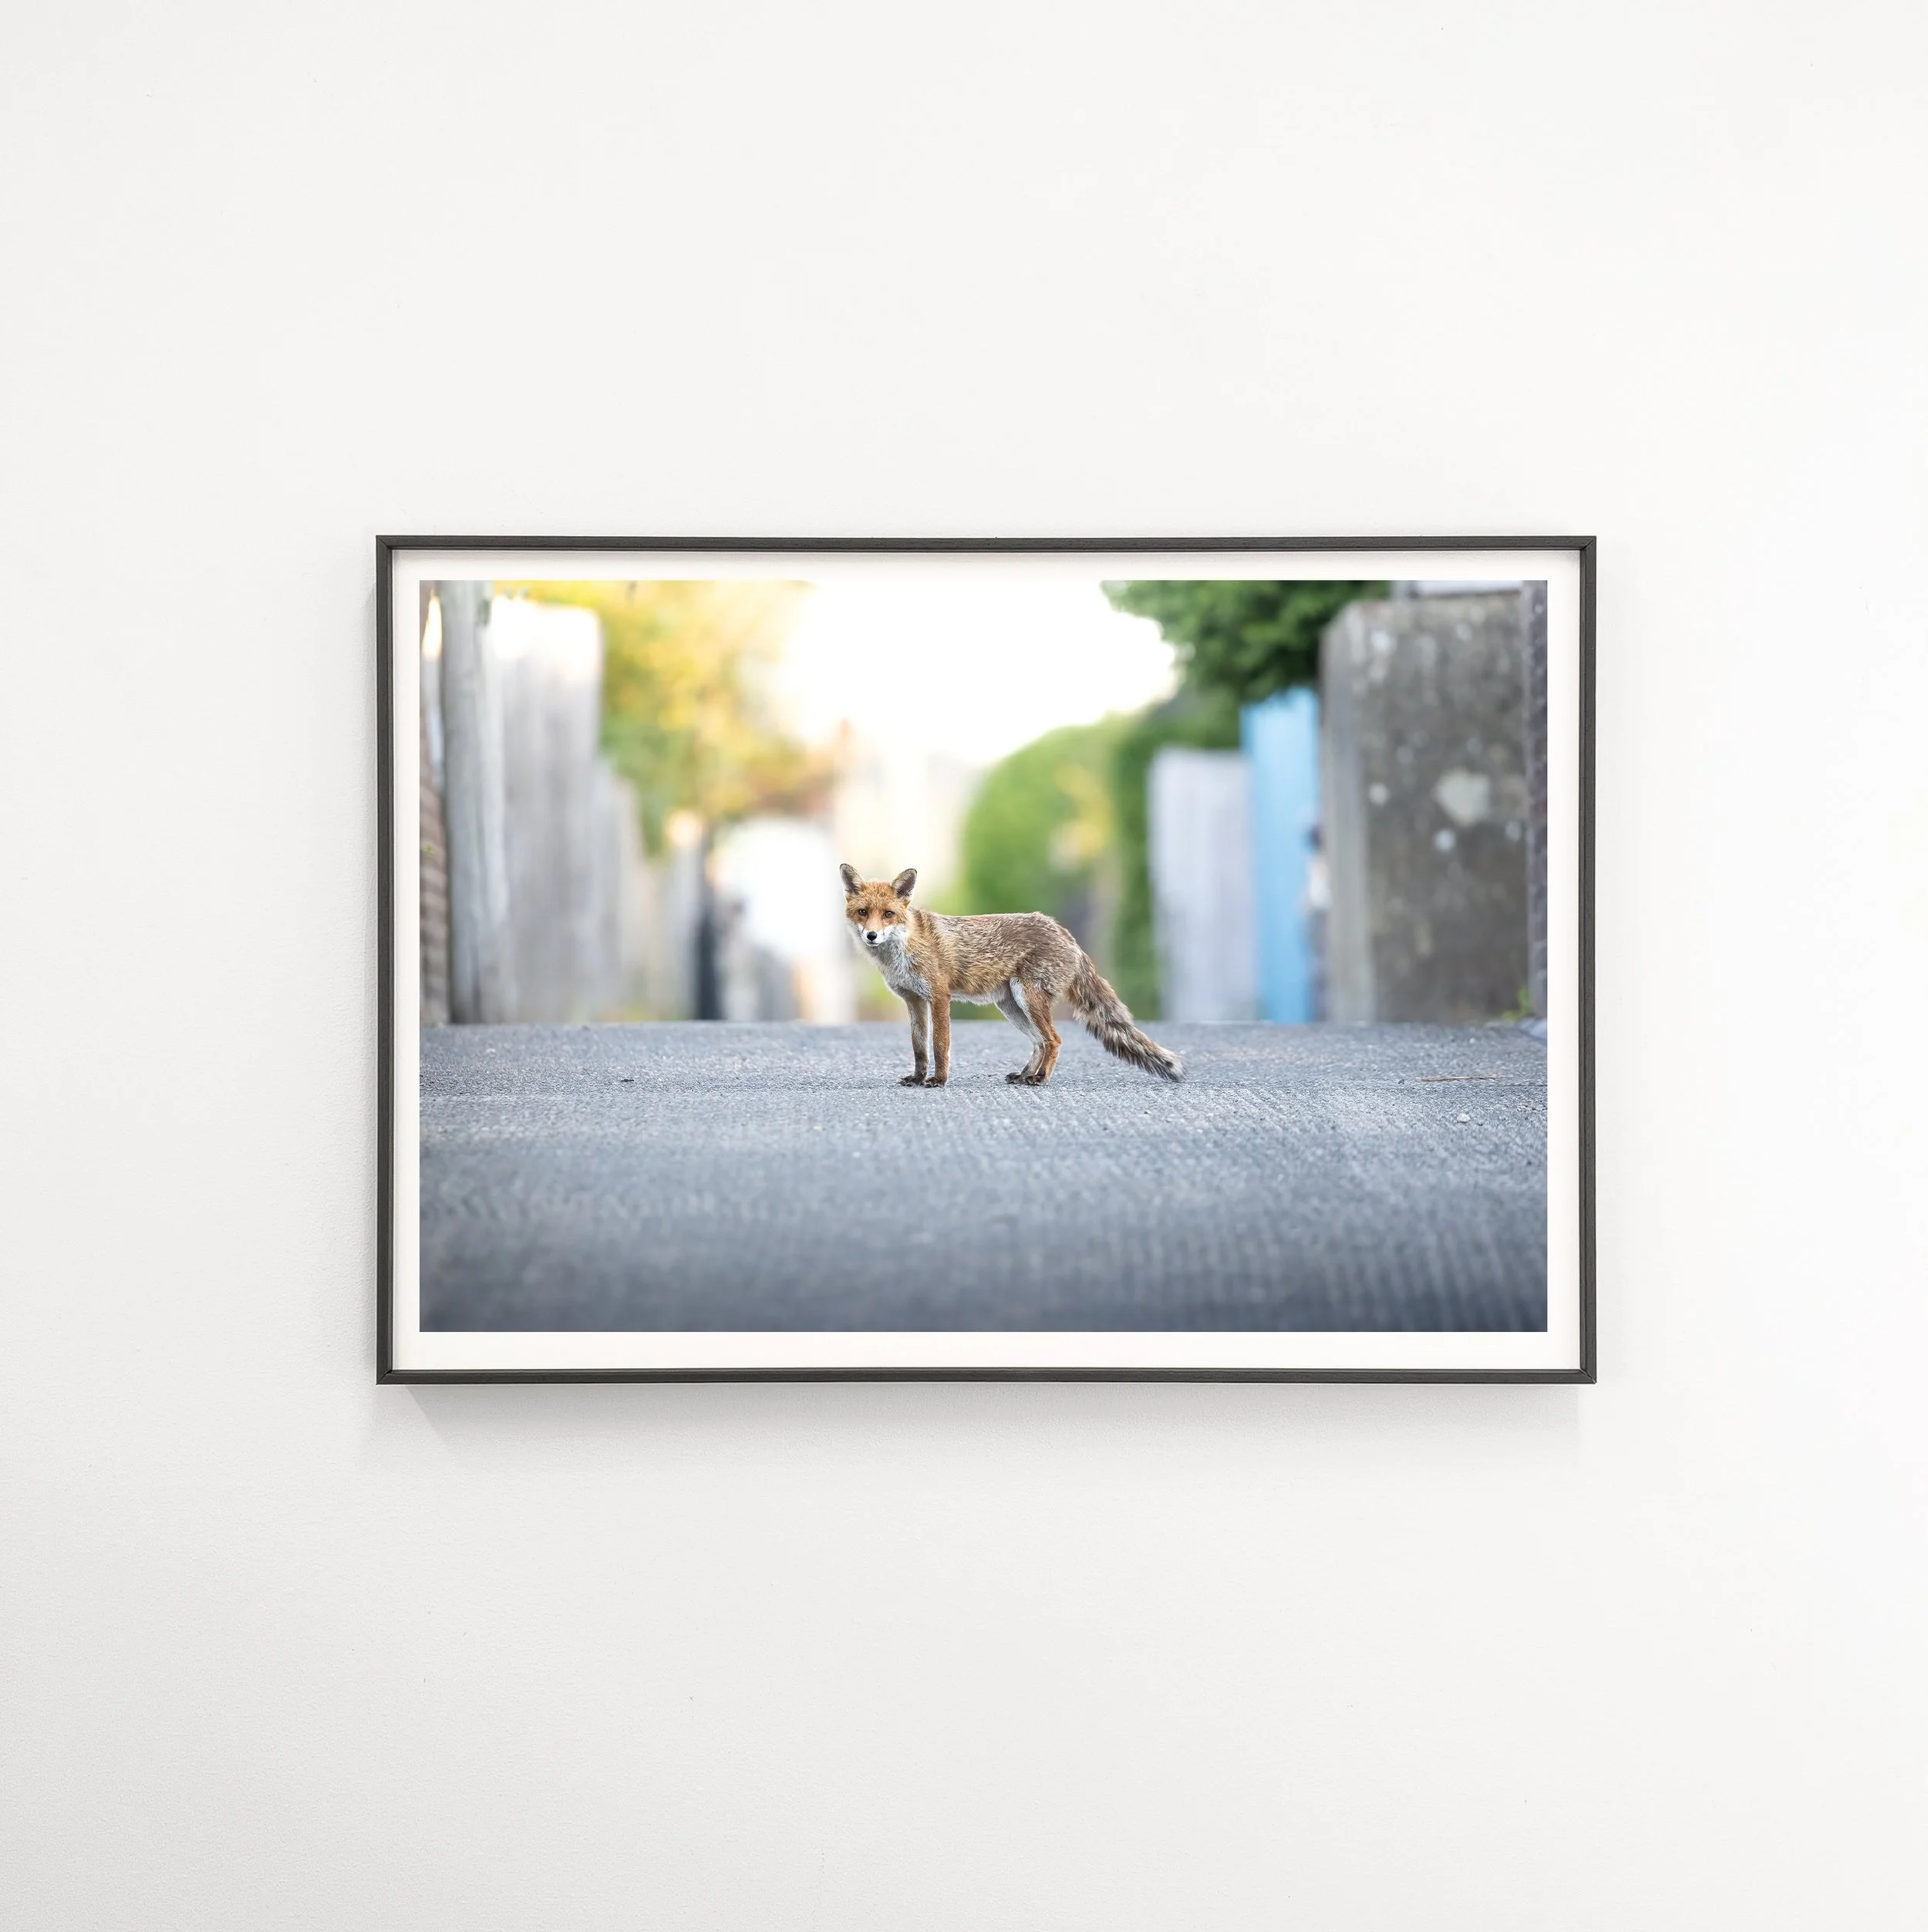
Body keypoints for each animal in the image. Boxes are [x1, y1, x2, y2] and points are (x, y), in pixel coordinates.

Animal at [840, 863, 1184, 1088]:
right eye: (863, 913)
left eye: (888, 914)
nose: (871, 935)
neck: (903, 950)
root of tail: (1064, 932)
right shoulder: (913, 1000)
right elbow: (919, 1047)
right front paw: (918, 1077)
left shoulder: (939, 997)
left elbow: (939, 1044)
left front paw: (938, 1080)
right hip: (1011, 1005)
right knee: (1040, 1043)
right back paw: (1024, 1074)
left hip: (1027, 998)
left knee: (1054, 1040)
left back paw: (1040, 1078)